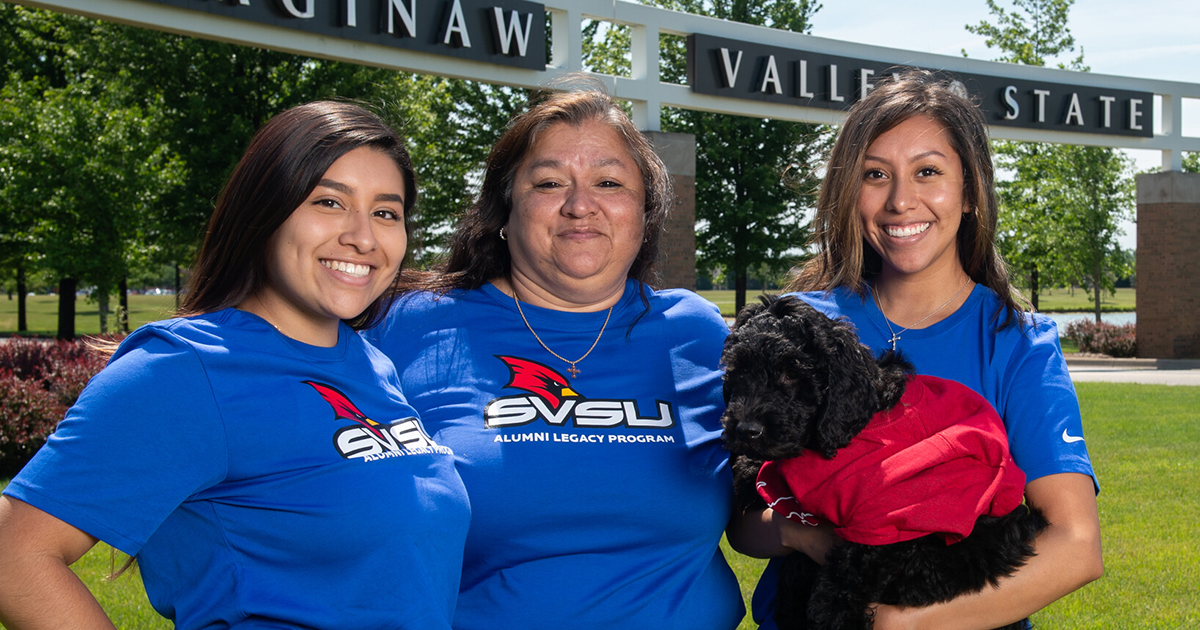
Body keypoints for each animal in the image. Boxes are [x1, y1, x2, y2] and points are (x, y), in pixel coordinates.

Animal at [715, 295, 1046, 628]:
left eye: (791, 374)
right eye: (739, 372)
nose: (746, 430)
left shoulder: (891, 525)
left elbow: (839, 587)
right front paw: (745, 471)